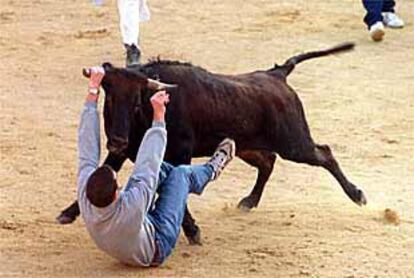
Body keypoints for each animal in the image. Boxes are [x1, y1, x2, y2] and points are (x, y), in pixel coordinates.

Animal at [57, 42, 366, 244]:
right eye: (109, 100)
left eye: (135, 103)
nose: (118, 140)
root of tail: (276, 74)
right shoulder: (124, 152)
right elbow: (104, 171)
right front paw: (68, 213)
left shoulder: (179, 154)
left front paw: (193, 231)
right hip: (246, 145)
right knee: (268, 162)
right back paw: (248, 201)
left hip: (294, 143)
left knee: (324, 154)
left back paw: (357, 195)